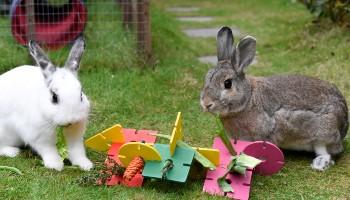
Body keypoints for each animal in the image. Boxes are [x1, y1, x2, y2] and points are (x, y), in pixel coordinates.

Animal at [0, 37, 93, 170]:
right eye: (54, 97)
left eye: (81, 94)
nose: (71, 120)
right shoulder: (39, 136)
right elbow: (49, 150)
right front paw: (56, 165)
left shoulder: (75, 135)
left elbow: (76, 150)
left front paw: (85, 164)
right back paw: (13, 152)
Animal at [201, 26, 348, 170]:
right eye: (206, 78)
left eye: (227, 83)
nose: (206, 104)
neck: (248, 98)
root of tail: (344, 122)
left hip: (323, 132)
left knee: (326, 151)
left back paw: (320, 163)